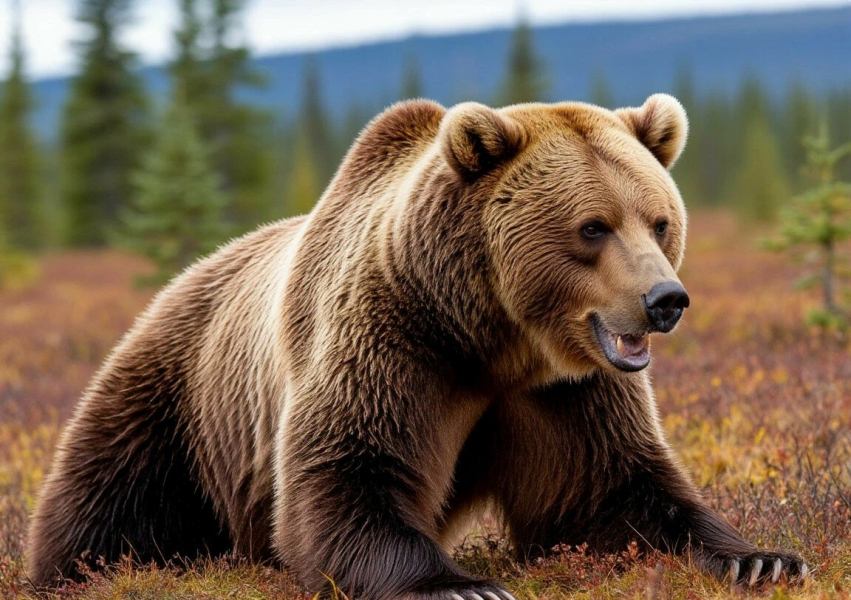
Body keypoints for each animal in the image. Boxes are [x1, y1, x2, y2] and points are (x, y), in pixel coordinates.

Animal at [27, 95, 807, 598]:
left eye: (659, 219)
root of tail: (184, 275)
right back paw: (68, 570)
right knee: (107, 497)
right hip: (175, 394)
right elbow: (350, 467)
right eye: (593, 226)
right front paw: (457, 586)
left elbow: (613, 488)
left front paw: (761, 560)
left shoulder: (564, 392)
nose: (665, 300)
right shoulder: (394, 340)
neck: (493, 337)